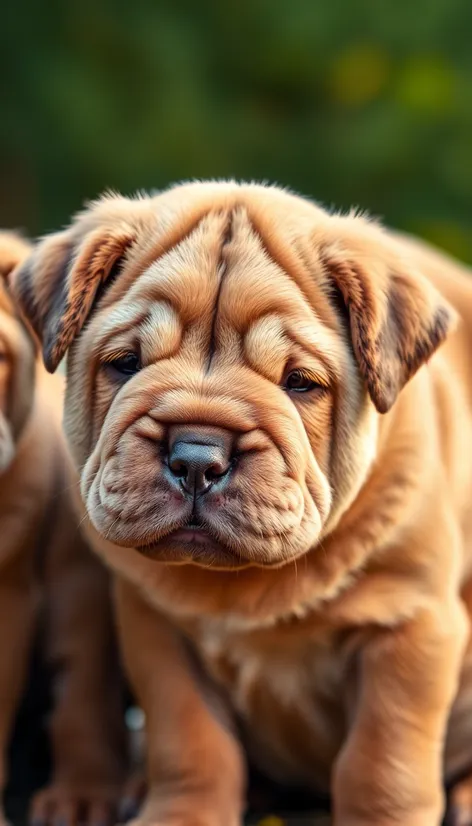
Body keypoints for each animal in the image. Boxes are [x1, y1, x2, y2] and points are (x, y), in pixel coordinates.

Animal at [11, 185, 472, 824]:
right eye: (126, 364)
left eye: (300, 382)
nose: (196, 457)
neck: (248, 584)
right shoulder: (157, 631)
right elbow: (191, 742)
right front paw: (179, 815)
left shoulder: (407, 625)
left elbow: (382, 762)